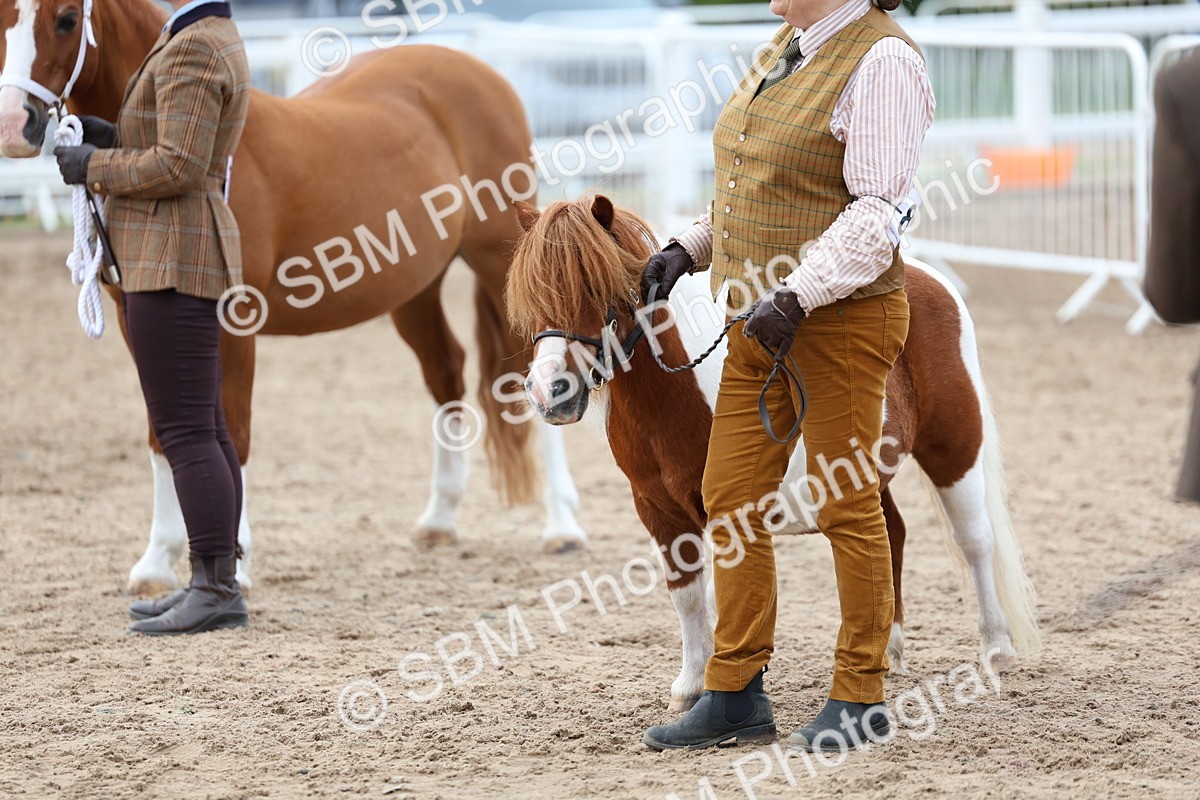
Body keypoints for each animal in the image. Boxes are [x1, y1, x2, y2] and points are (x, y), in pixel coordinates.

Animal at [0, 0, 591, 595]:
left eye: (66, 19)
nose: (13, 127)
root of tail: (486, 75)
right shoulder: (136, 318)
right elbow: (162, 434)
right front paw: (156, 563)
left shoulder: (233, 322)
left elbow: (233, 433)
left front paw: (234, 566)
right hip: (415, 289)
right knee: (446, 372)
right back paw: (439, 520)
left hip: (498, 264)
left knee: (531, 375)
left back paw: (562, 527)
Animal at [506, 195, 1041, 712]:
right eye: (532, 293)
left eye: (595, 289)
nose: (549, 391)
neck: (683, 389)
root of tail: (932, 280)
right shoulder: (657, 508)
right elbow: (688, 595)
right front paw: (691, 685)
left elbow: (731, 592)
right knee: (892, 534)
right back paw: (888, 649)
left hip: (954, 444)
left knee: (975, 540)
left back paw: (996, 649)